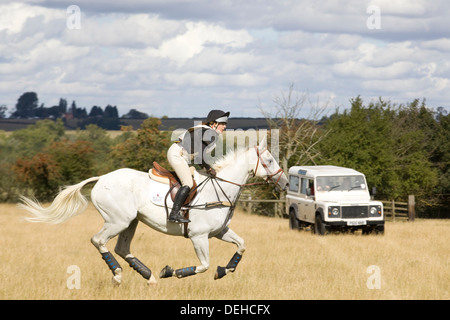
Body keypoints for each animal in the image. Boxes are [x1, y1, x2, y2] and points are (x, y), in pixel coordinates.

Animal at [18, 138, 288, 284]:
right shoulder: (199, 237)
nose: (285, 183)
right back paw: (118, 275)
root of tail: (101, 178)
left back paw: (148, 276)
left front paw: (224, 271)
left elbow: (241, 246)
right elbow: (203, 266)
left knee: (122, 248)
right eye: (269, 161)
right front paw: (171, 272)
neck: (219, 189)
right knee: (99, 240)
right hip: (117, 221)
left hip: (131, 222)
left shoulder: (219, 232)